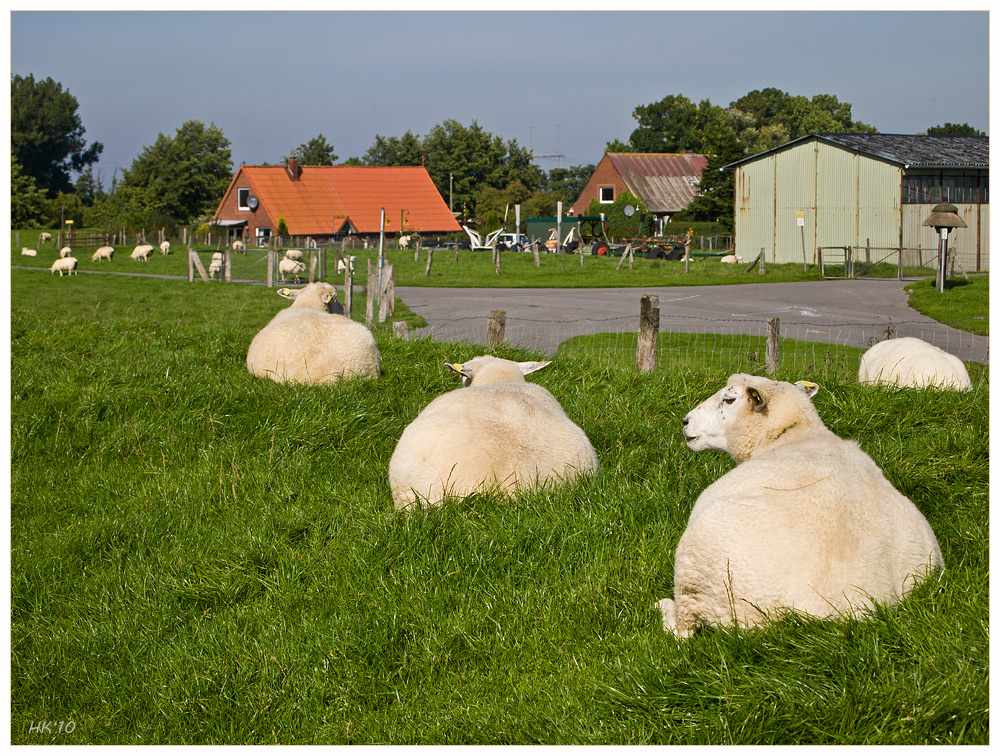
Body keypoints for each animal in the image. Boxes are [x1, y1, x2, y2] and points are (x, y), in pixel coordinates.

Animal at [660, 372, 940, 636]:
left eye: (729, 399)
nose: (685, 421)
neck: (794, 432)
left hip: (699, 571)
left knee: (683, 628)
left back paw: (663, 607)